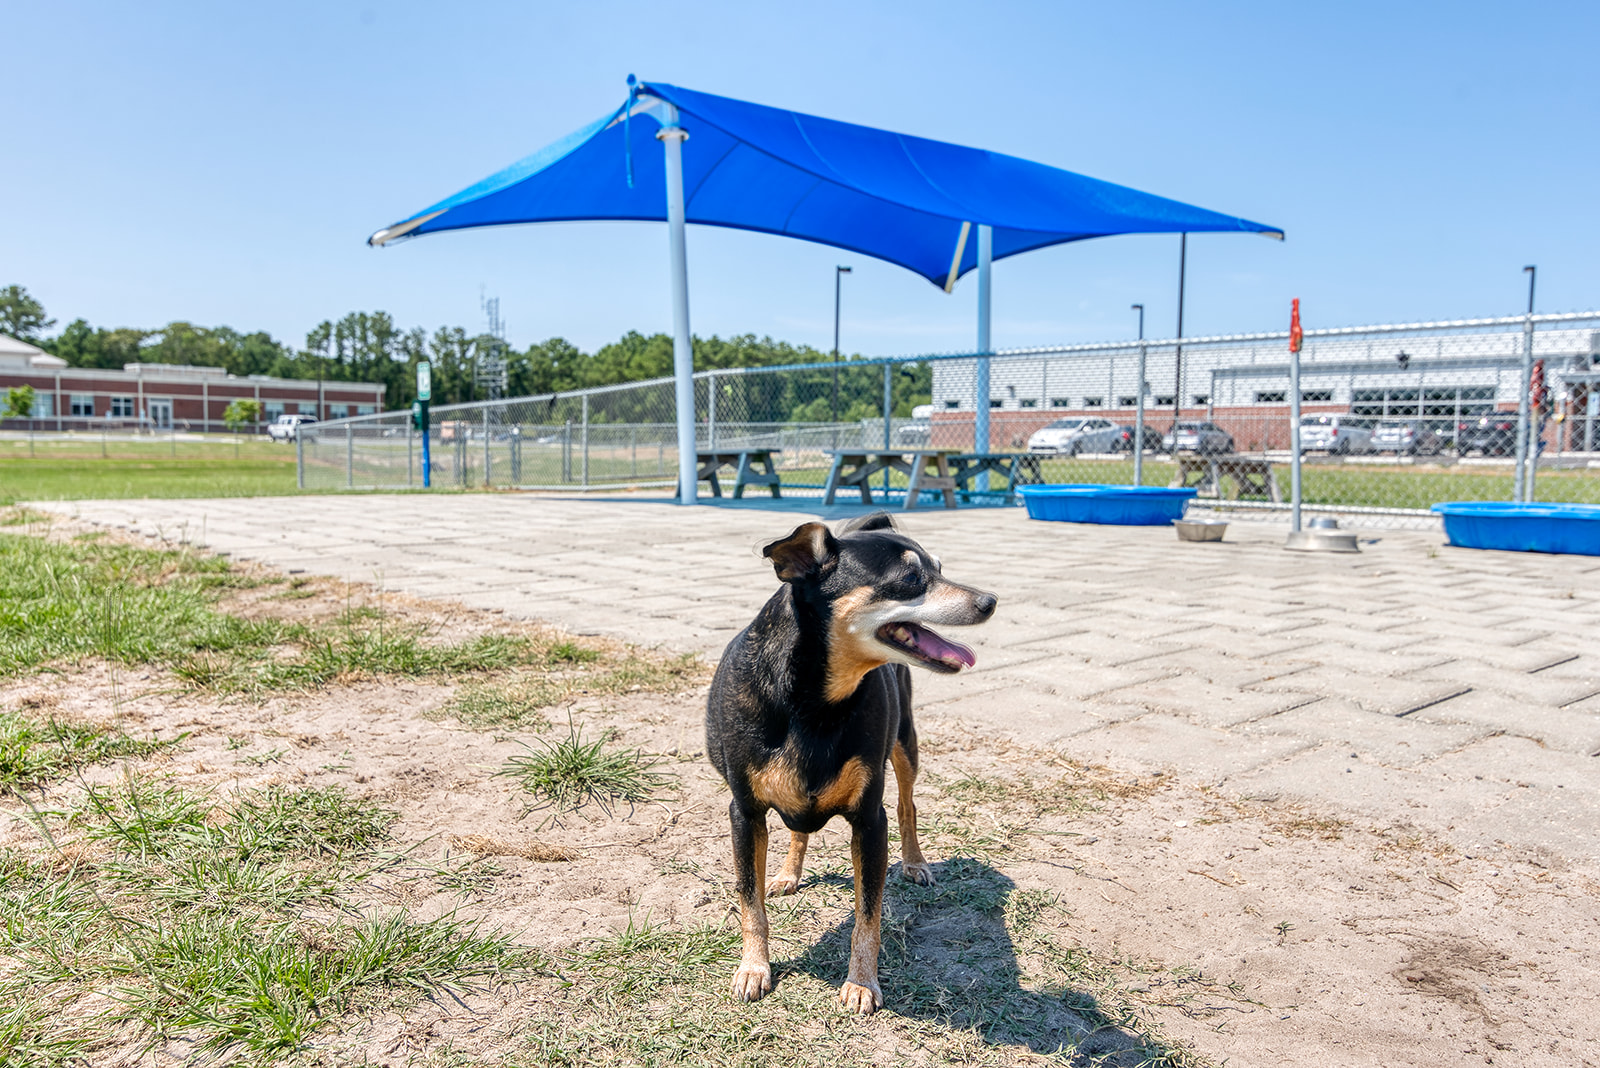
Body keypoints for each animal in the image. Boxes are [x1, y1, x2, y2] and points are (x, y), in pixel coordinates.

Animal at [707, 511, 992, 1016]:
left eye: (940, 567)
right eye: (911, 579)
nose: (990, 601)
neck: (815, 703)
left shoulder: (869, 820)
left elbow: (868, 913)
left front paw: (861, 983)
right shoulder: (744, 813)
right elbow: (750, 900)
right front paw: (754, 968)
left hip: (905, 744)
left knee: (908, 805)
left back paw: (915, 862)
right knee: (798, 831)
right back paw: (789, 873)